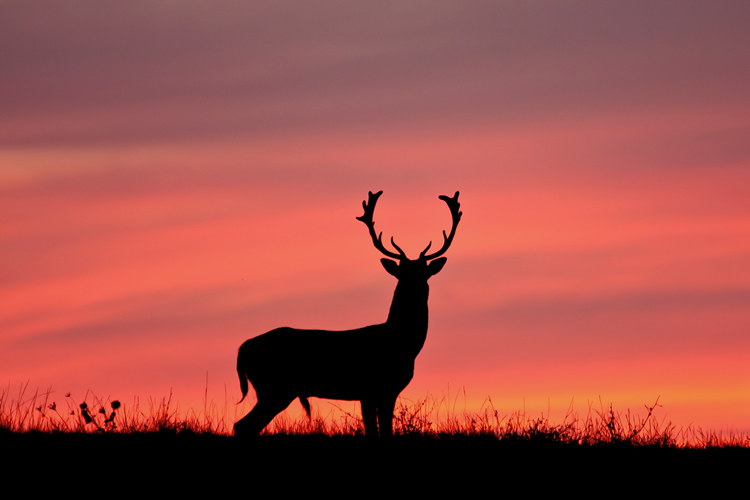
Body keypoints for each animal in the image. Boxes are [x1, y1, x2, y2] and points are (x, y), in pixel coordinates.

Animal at [233, 190, 461, 437]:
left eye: (424, 273)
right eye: (402, 273)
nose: (414, 287)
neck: (400, 343)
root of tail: (242, 349)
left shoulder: (387, 391)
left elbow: (384, 430)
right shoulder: (370, 388)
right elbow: (375, 431)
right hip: (275, 387)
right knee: (242, 425)